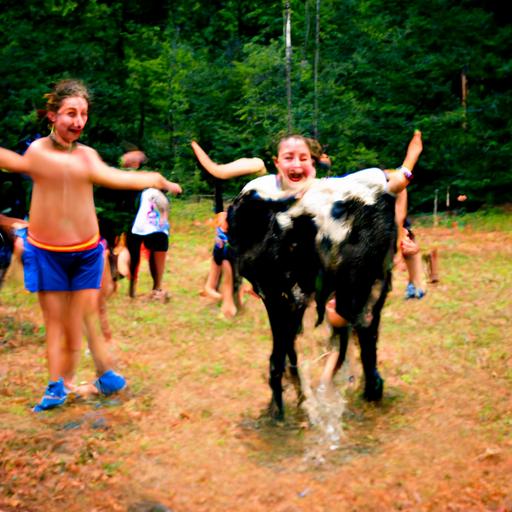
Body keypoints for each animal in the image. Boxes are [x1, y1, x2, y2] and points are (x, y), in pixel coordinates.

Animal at [228, 174, 396, 418]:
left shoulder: (279, 295)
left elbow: (280, 352)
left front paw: (278, 407)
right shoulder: (286, 298)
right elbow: (288, 349)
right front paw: (296, 399)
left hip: (354, 291)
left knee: (363, 331)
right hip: (368, 288)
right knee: (367, 334)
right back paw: (369, 390)